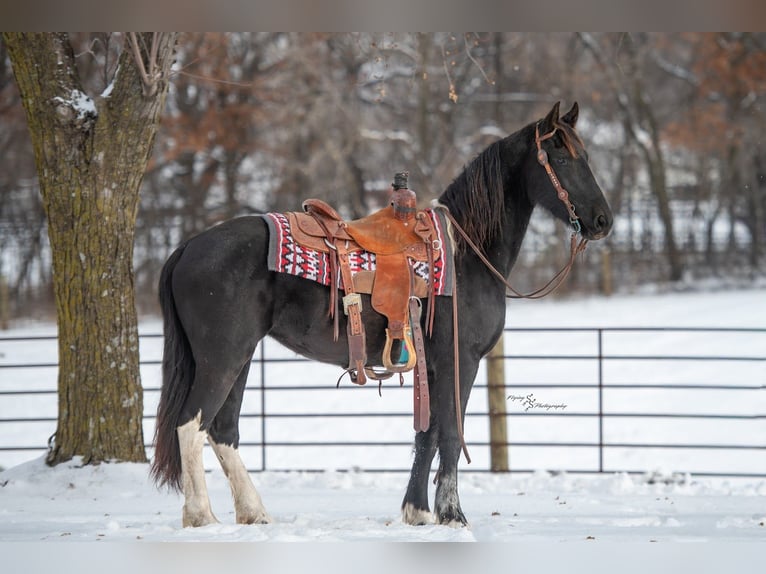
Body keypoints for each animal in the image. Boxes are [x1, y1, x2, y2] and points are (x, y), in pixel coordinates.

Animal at [150, 101, 613, 528]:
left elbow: (426, 435)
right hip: (222, 359)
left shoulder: (432, 365)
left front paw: (417, 511)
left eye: (587, 155)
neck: (466, 254)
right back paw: (201, 516)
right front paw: (452, 515)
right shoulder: (460, 361)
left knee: (223, 430)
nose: (603, 221)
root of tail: (187, 248)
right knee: (191, 424)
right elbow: (450, 434)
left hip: (241, 358)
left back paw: (254, 513)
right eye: (562, 158)